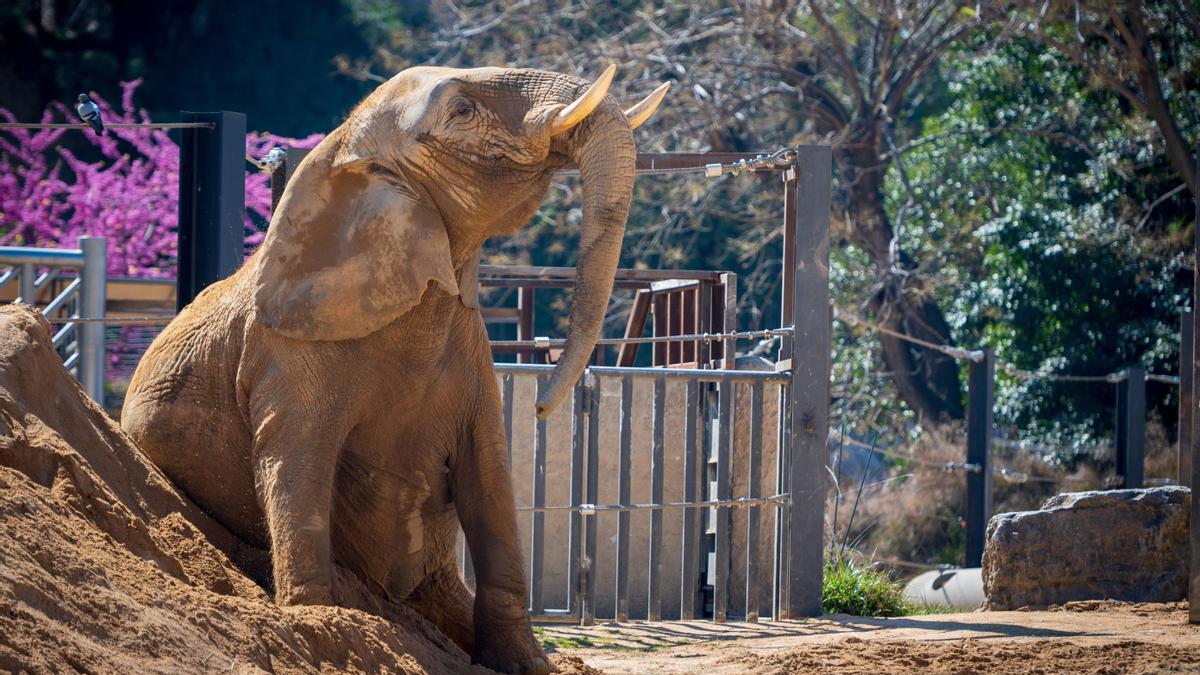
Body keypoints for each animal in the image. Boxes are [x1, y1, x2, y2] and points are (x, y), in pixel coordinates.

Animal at [126, 64, 672, 672]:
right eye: (461, 111)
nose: (538, 404)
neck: (344, 154)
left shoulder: (470, 349)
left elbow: (490, 475)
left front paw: (525, 663)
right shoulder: (287, 353)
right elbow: (294, 465)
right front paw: (324, 625)